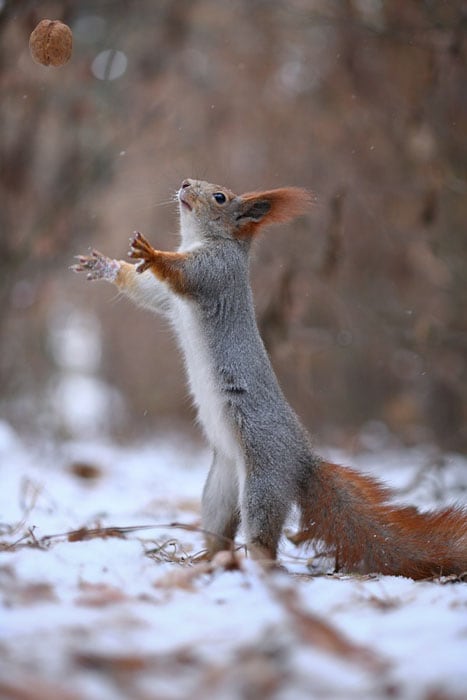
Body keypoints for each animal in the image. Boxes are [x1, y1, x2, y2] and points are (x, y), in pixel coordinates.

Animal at [73, 178, 467, 576]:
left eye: (220, 197)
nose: (185, 183)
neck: (201, 240)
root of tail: (302, 460)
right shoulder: (169, 301)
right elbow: (148, 294)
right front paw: (104, 265)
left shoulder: (216, 273)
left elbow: (183, 275)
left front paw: (151, 253)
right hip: (221, 488)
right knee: (219, 530)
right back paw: (206, 560)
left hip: (263, 480)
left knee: (264, 540)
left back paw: (255, 566)